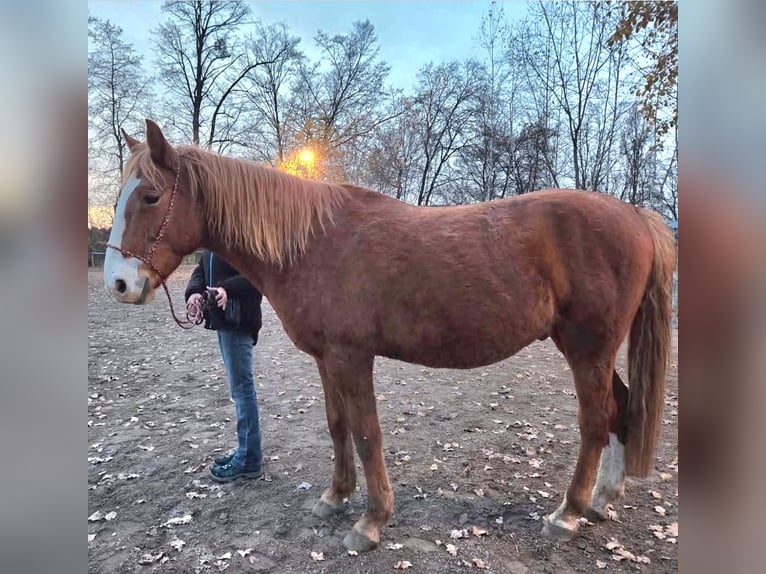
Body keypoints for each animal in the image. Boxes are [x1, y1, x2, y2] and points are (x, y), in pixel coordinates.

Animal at [103, 119, 676, 552]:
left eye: (151, 196)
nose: (120, 283)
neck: (313, 244)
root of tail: (636, 216)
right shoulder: (326, 359)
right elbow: (337, 427)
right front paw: (335, 498)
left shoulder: (352, 358)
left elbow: (366, 433)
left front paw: (371, 520)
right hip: (593, 350)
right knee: (623, 411)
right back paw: (602, 501)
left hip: (587, 349)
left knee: (596, 422)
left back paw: (568, 513)